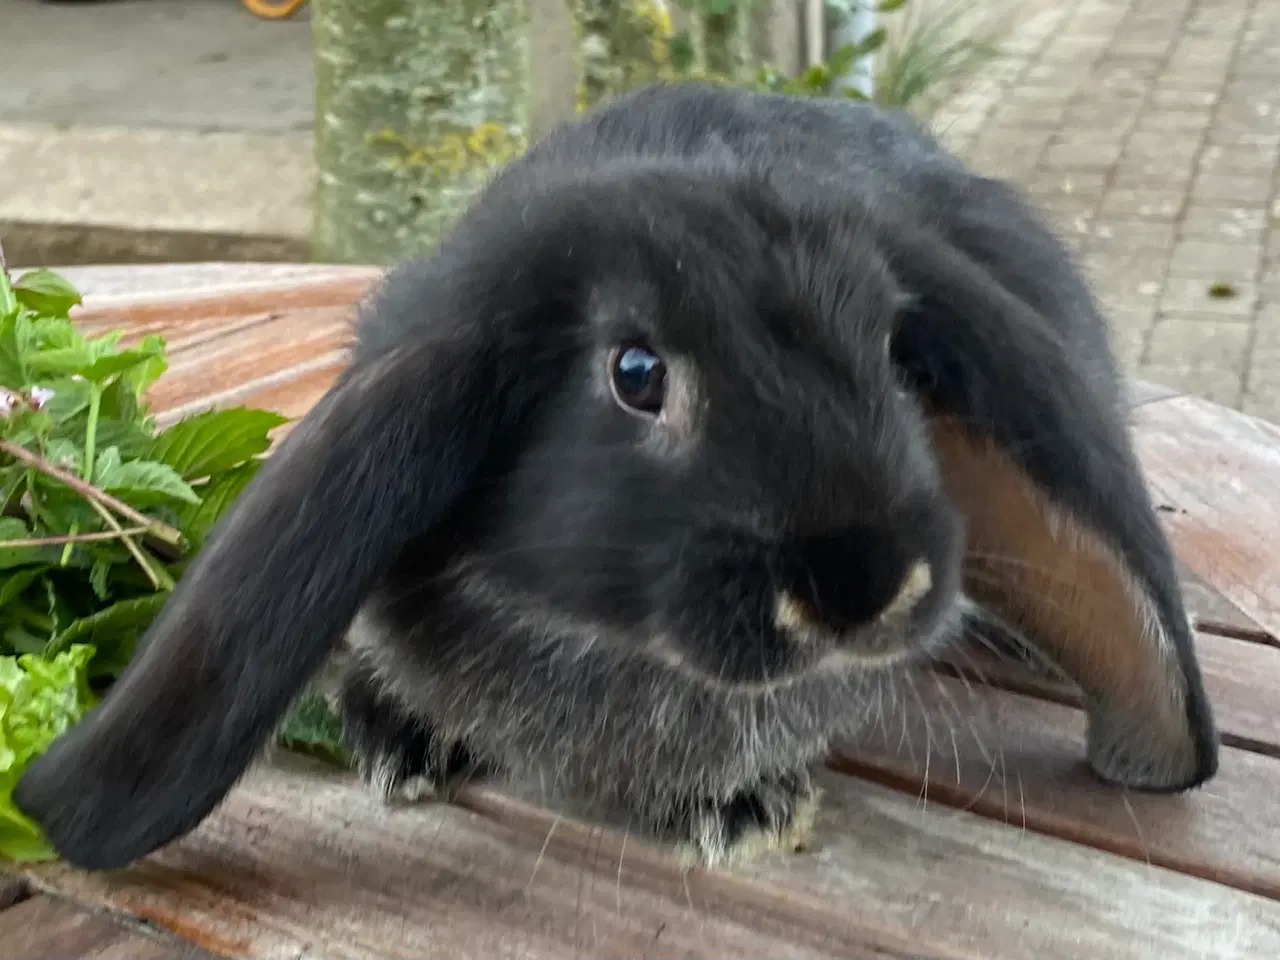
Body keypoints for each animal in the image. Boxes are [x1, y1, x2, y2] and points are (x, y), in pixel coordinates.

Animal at [17, 82, 1218, 870]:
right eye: (636, 374)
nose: (863, 587)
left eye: (891, 354)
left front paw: (750, 806)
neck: (614, 655)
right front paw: (398, 737)